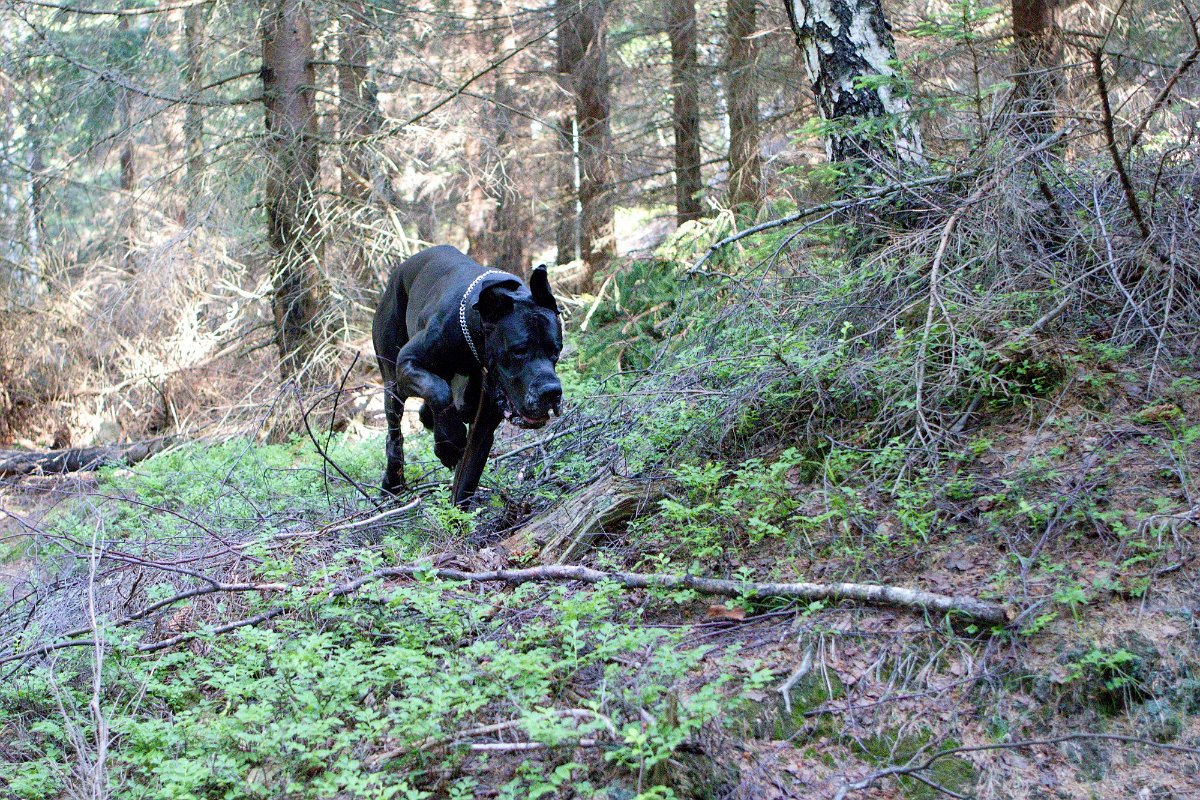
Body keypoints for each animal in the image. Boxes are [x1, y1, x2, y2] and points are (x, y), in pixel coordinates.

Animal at [372, 247, 564, 506]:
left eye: (556, 350)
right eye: (519, 350)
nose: (551, 391)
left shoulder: (482, 427)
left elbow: (467, 478)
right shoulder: (408, 362)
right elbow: (439, 391)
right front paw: (449, 444)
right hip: (393, 381)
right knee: (395, 435)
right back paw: (392, 483)